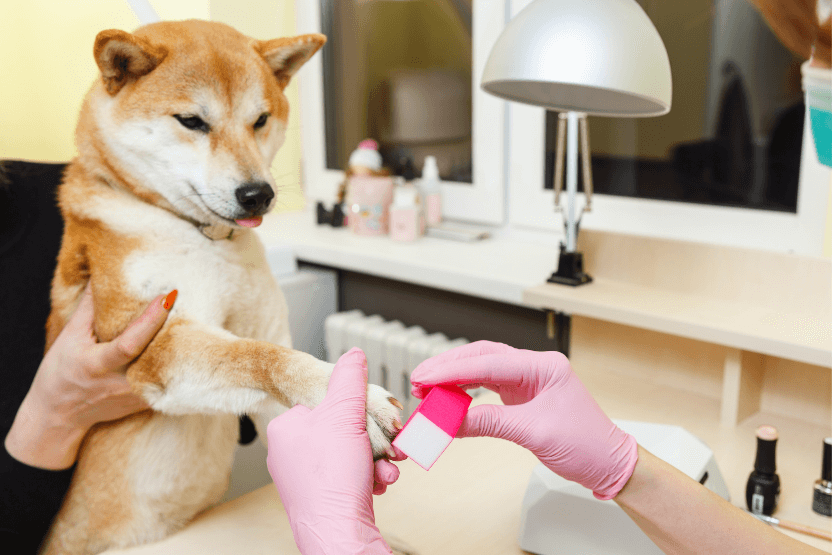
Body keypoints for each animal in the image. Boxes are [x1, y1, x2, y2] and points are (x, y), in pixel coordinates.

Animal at [38, 19, 400, 552]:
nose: (257, 194)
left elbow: (266, 364)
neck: (201, 238)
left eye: (260, 120)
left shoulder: (262, 326)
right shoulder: (153, 341)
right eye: (191, 121)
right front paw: (343, 396)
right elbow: (257, 356)